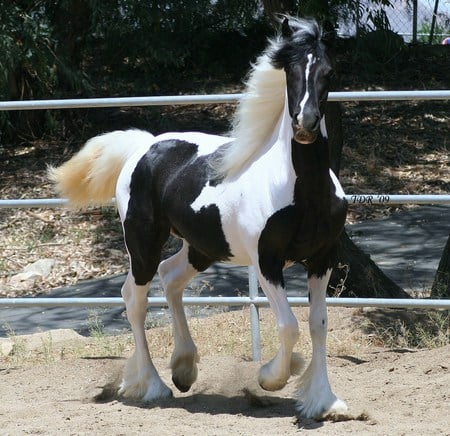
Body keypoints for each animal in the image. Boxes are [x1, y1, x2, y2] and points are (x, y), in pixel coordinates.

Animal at [51, 17, 350, 418]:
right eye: (289, 71)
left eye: (328, 72)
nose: (305, 125)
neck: (298, 190)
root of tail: (144, 146)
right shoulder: (266, 262)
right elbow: (289, 326)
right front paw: (271, 378)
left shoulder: (322, 258)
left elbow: (319, 323)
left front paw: (324, 400)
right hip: (143, 243)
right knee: (135, 297)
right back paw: (153, 386)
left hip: (202, 247)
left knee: (170, 277)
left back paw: (183, 369)